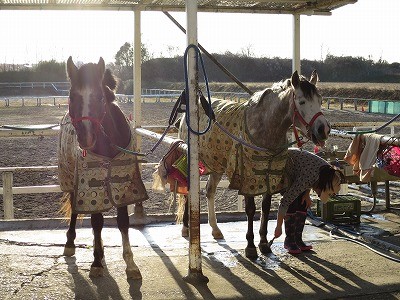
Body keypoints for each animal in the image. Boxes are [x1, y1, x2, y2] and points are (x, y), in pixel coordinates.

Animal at [57, 56, 148, 278]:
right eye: (72, 97)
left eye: (100, 97)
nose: (86, 138)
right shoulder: (91, 183)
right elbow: (97, 222)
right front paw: (96, 262)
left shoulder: (123, 183)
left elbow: (122, 222)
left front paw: (130, 264)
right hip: (71, 180)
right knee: (75, 209)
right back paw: (71, 244)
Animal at [177, 70, 328, 258]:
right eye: (302, 101)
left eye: (320, 100)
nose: (324, 129)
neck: (264, 127)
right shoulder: (248, 177)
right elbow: (250, 209)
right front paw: (250, 246)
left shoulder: (270, 175)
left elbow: (265, 208)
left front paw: (263, 243)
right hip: (193, 162)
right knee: (187, 192)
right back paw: (186, 228)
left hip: (217, 166)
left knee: (210, 192)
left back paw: (215, 229)